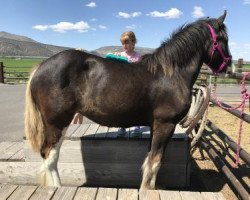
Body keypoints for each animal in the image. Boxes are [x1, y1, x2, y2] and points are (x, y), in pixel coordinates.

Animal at [24, 10, 231, 189]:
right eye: (223, 39)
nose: (228, 65)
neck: (170, 74)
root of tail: (41, 66)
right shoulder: (165, 124)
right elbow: (155, 161)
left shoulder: (155, 125)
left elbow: (150, 160)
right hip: (57, 122)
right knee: (50, 157)